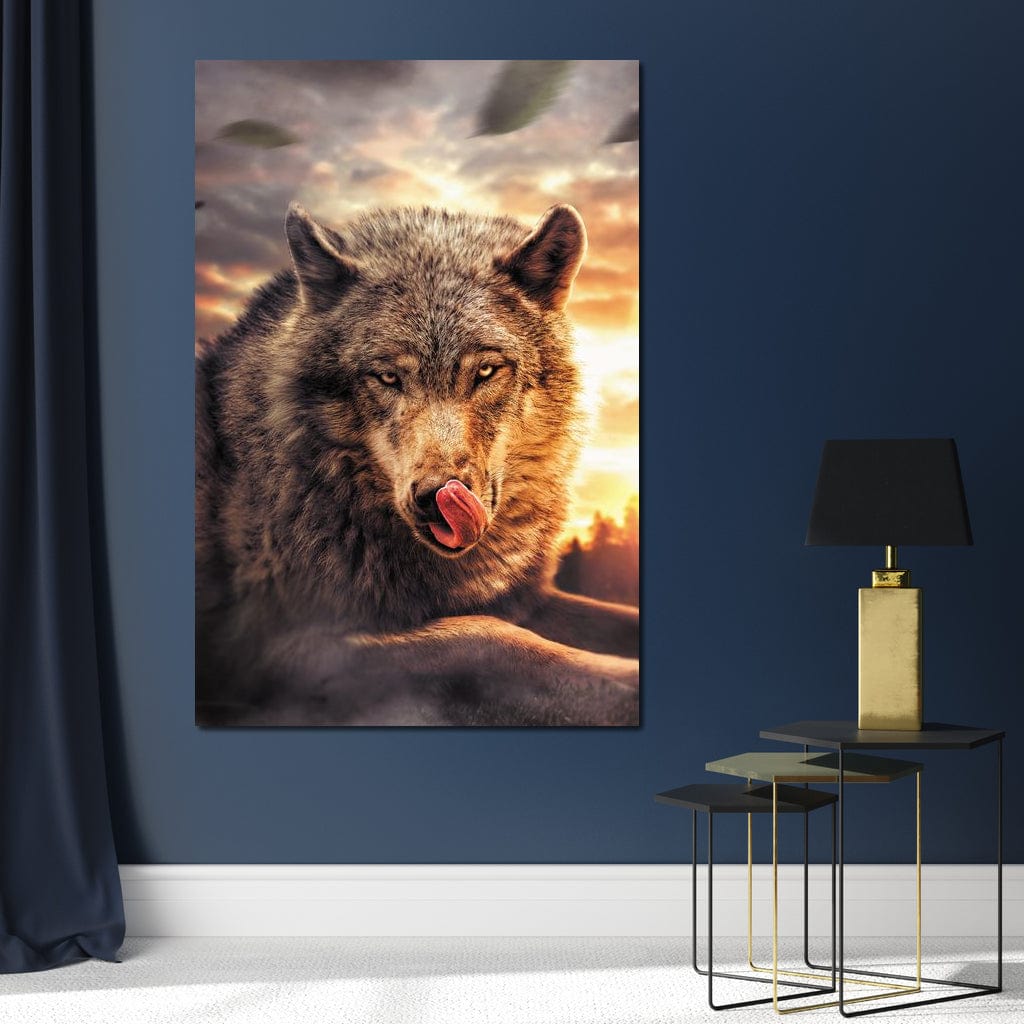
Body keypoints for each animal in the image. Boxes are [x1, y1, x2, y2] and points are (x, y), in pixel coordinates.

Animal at [195, 201, 639, 726]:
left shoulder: (523, 599)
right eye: (388, 377)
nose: (436, 498)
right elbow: (489, 640)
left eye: (486, 371)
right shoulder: (285, 651)